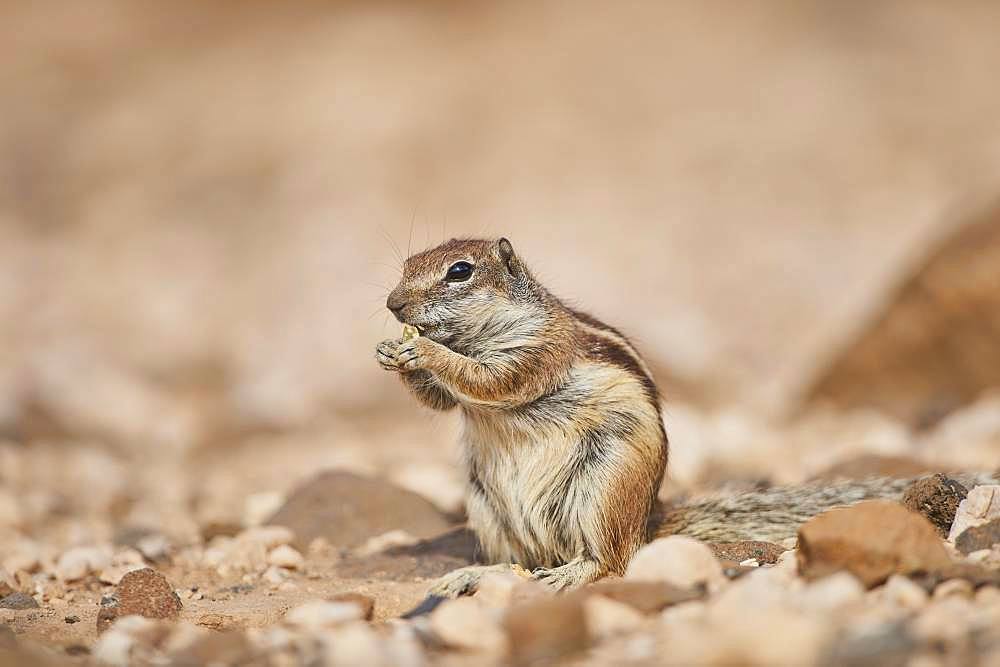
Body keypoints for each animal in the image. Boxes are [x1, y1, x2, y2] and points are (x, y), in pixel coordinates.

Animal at [374, 239, 992, 596]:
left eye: (459, 271)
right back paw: (475, 575)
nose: (392, 304)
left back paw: (570, 574)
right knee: (520, 565)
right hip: (488, 509)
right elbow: (445, 400)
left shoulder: (539, 351)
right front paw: (393, 353)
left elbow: (493, 381)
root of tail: (648, 523)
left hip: (604, 486)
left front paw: (421, 351)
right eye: (404, 267)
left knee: (613, 561)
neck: (480, 333)